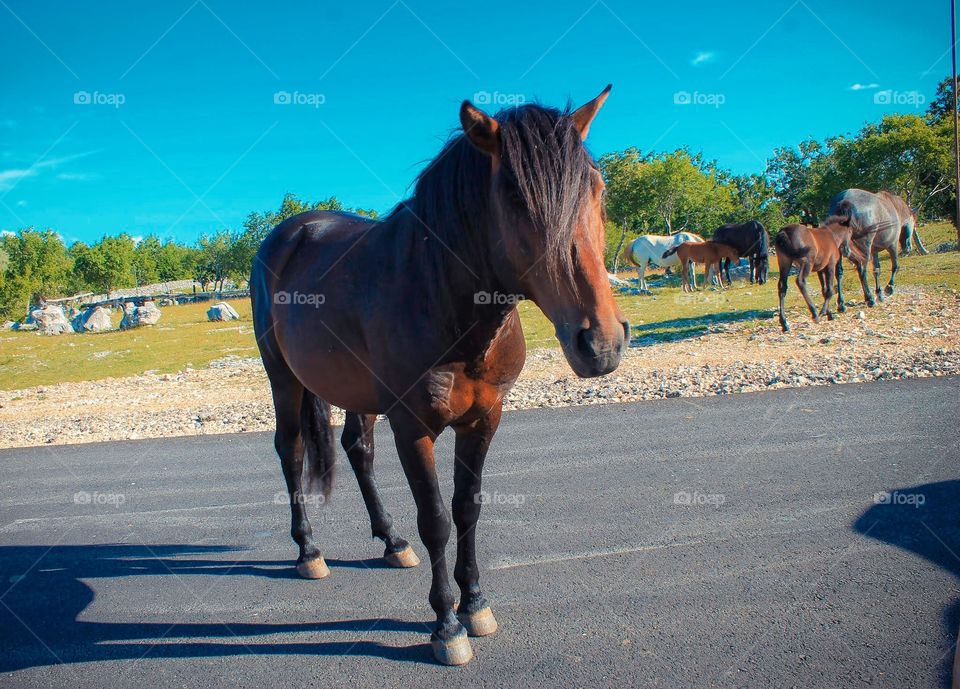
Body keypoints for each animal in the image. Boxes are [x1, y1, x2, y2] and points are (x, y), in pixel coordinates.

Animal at [250, 86, 628, 666]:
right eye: (515, 198)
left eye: (597, 188)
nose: (601, 344)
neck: (444, 299)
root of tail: (290, 232)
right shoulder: (413, 427)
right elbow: (436, 520)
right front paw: (446, 626)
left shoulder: (484, 418)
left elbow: (467, 509)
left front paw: (476, 605)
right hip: (284, 380)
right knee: (290, 452)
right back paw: (309, 551)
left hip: (355, 391)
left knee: (358, 449)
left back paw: (390, 542)